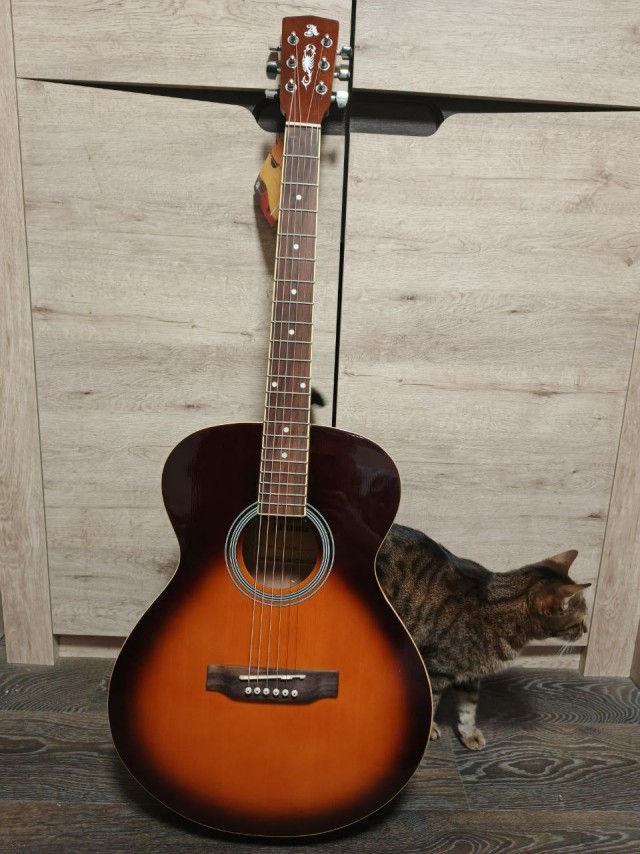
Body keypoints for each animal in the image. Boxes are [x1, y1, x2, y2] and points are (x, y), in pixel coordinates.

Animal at [376, 524, 590, 750]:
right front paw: (428, 730)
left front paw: (469, 734)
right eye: (581, 620)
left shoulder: (470, 675)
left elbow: (468, 709)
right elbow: (432, 702)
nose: (586, 630)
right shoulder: (435, 671)